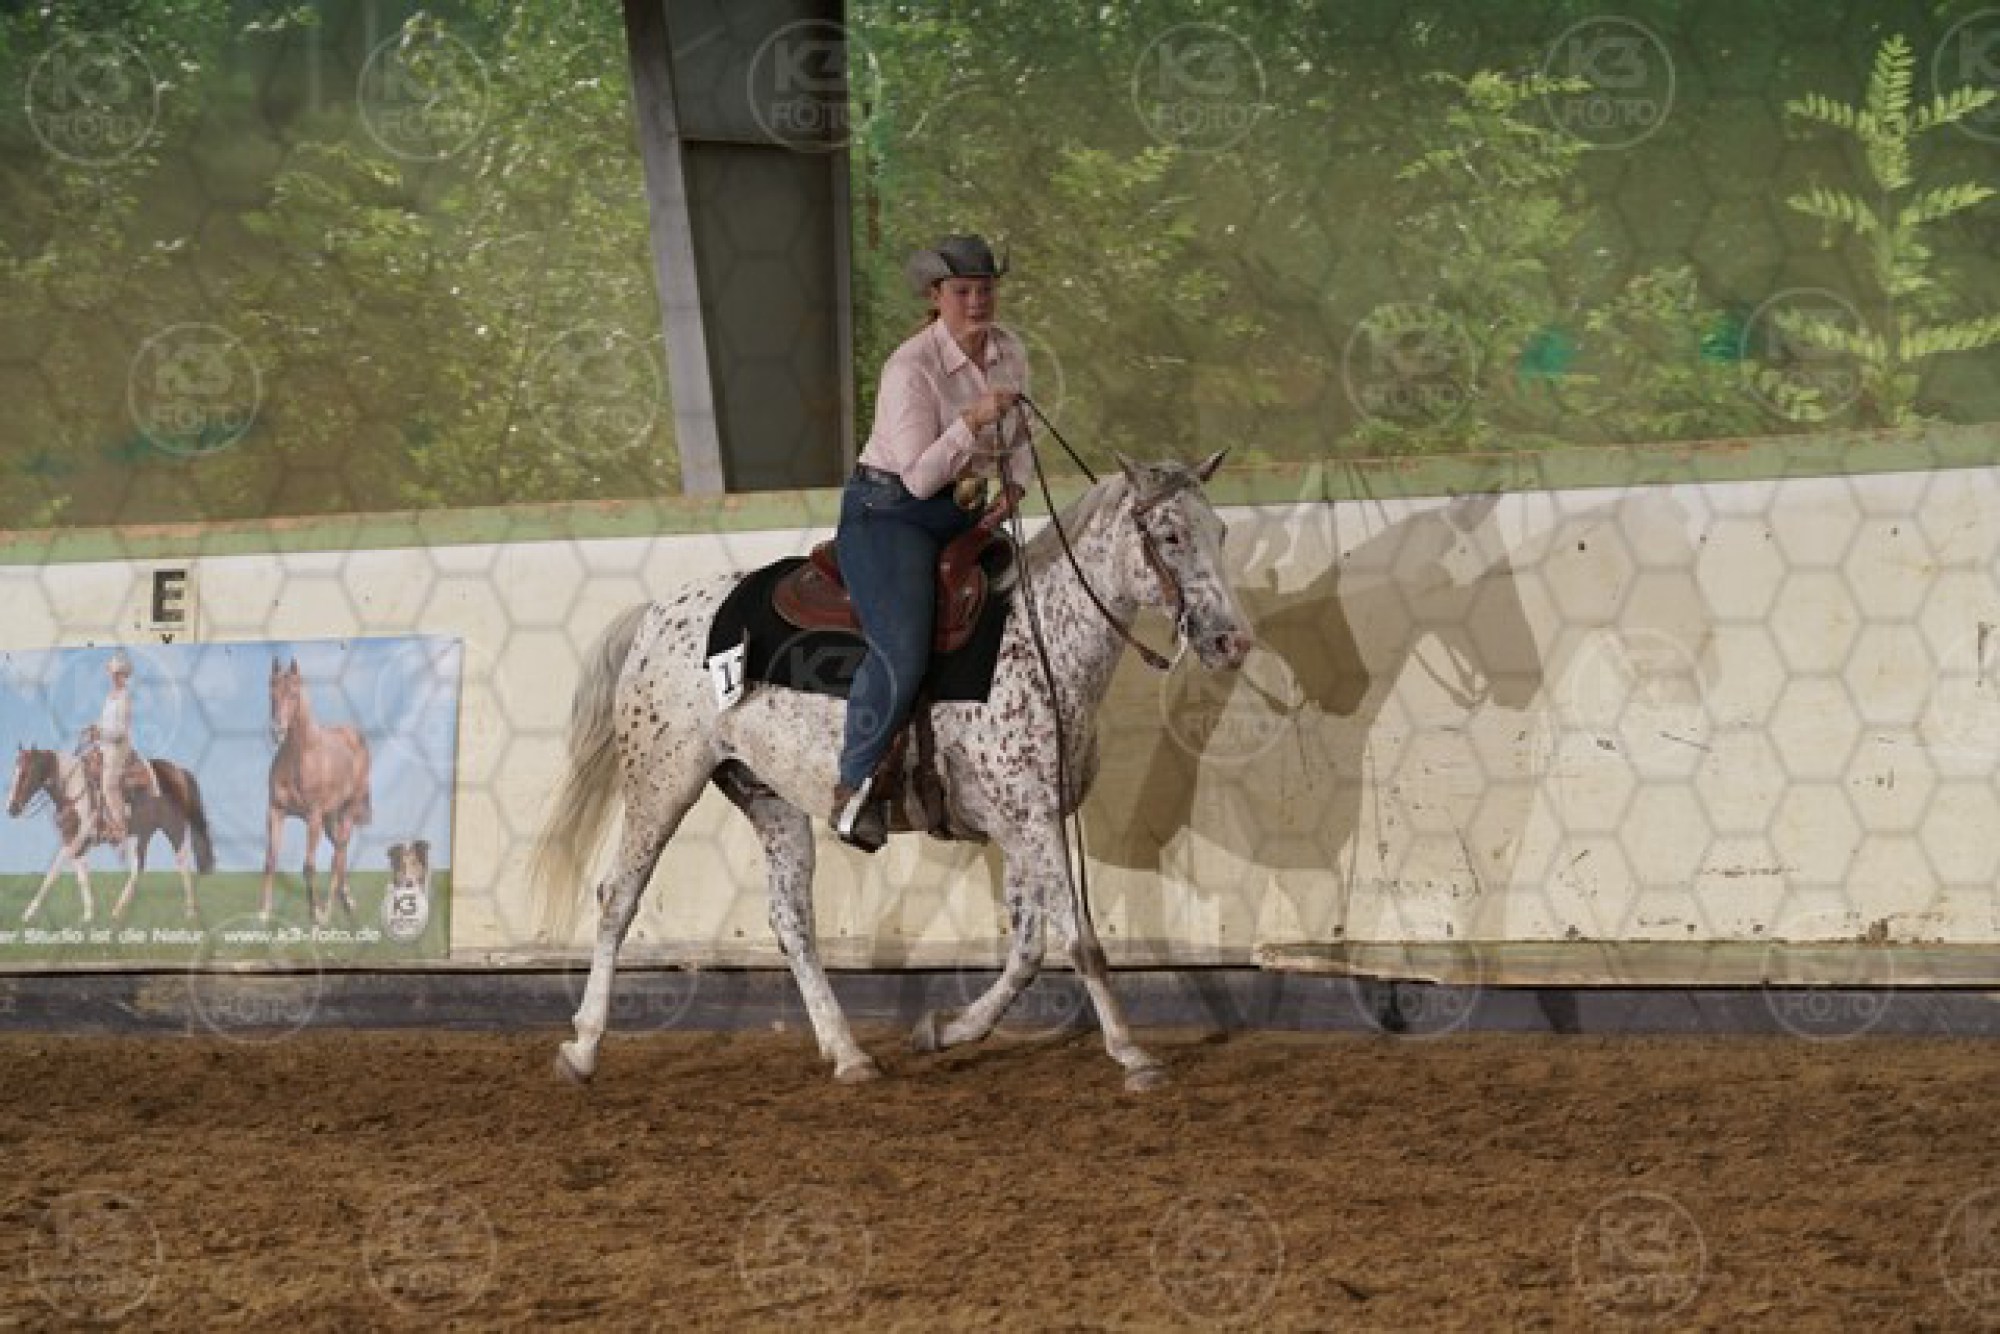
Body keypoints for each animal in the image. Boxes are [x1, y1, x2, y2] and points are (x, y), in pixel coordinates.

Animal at [6, 745, 216, 924]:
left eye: (24, 773)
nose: (11, 808)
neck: (74, 790)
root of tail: (179, 771)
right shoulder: (76, 843)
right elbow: (82, 877)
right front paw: (88, 916)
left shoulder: (74, 840)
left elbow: (51, 874)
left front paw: (27, 913)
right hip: (143, 833)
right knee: (138, 868)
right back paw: (118, 911)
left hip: (174, 828)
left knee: (182, 863)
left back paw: (189, 912)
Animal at [261, 658, 373, 926]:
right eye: (271, 694)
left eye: (294, 694)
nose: (277, 732)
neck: (301, 756)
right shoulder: (275, 811)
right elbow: (270, 860)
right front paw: (264, 912)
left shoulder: (312, 817)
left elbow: (309, 866)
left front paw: (315, 913)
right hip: (329, 818)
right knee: (340, 851)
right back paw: (347, 900)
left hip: (346, 811)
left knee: (338, 855)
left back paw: (329, 911)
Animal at [531, 454, 1254, 1091]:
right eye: (1170, 534)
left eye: (1220, 532)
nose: (1232, 641)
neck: (1040, 638)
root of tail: (654, 617)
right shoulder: (1032, 820)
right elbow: (1080, 940)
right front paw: (1134, 1055)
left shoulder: (1024, 821)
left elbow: (1028, 948)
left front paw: (946, 1030)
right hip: (661, 782)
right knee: (618, 898)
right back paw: (582, 1048)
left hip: (768, 797)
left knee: (791, 918)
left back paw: (848, 1053)